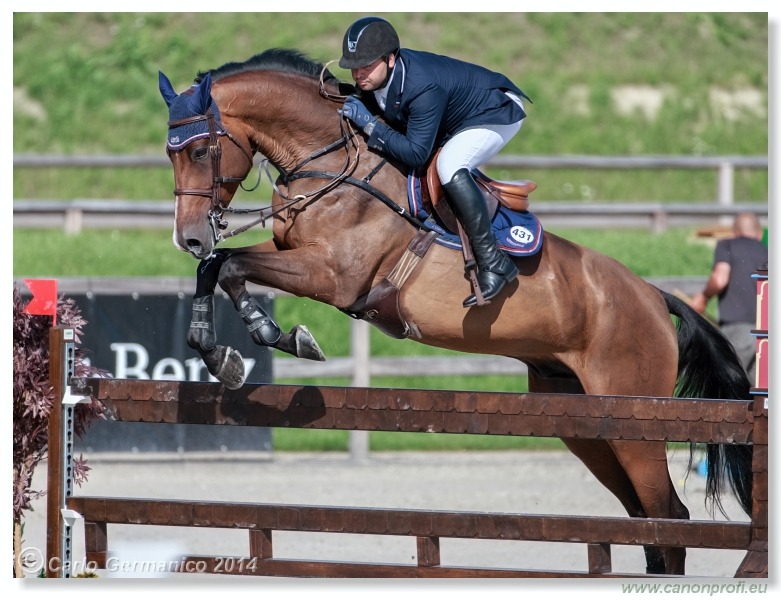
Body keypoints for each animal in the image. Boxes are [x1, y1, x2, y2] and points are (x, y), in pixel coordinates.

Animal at [158, 49, 748, 576]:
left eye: (202, 151)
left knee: (669, 517)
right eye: (170, 153)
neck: (331, 164)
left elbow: (233, 266)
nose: (188, 237)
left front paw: (273, 336)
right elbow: (218, 267)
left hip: (635, 422)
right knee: (643, 518)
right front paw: (219, 349)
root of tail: (652, 295)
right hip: (585, 424)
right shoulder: (291, 253)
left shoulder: (333, 276)